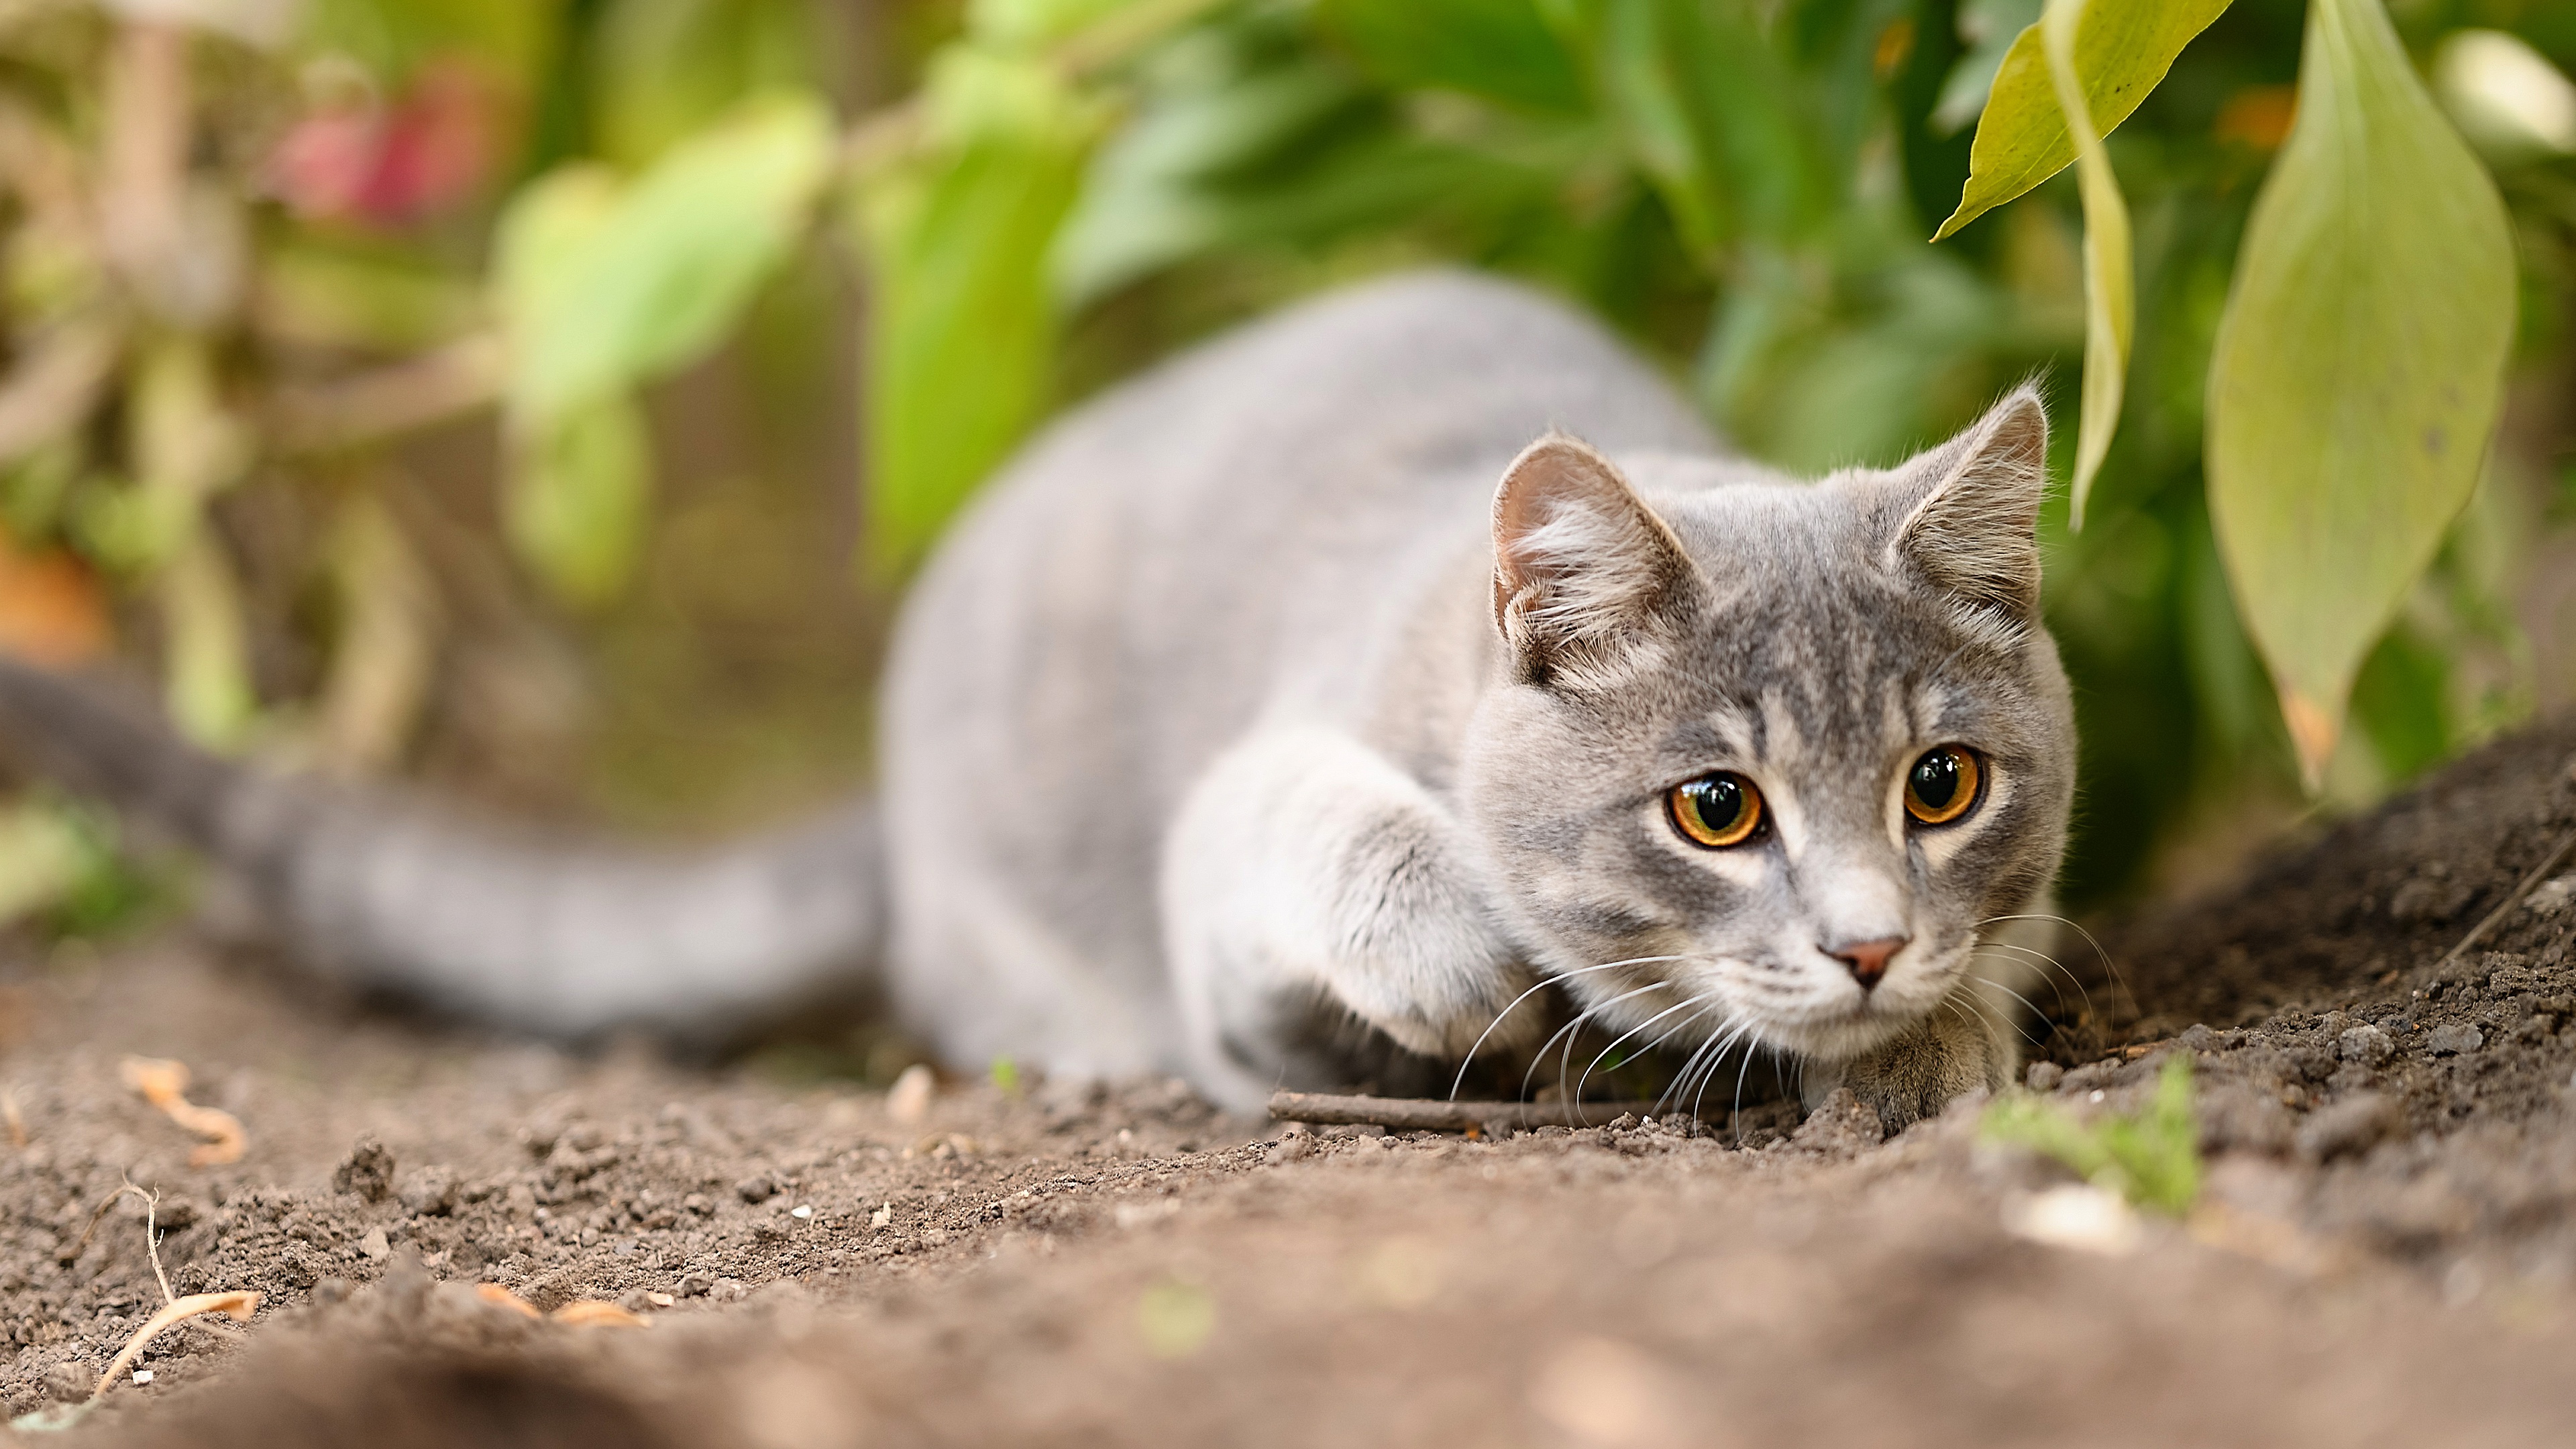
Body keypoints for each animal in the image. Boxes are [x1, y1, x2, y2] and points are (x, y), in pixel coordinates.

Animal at [0, 270, 2061, 1129]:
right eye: (1716, 808)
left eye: (1941, 785)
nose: (1869, 945)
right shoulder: (1247, 824)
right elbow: (1325, 832)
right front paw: (1465, 972)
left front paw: (1935, 1039)